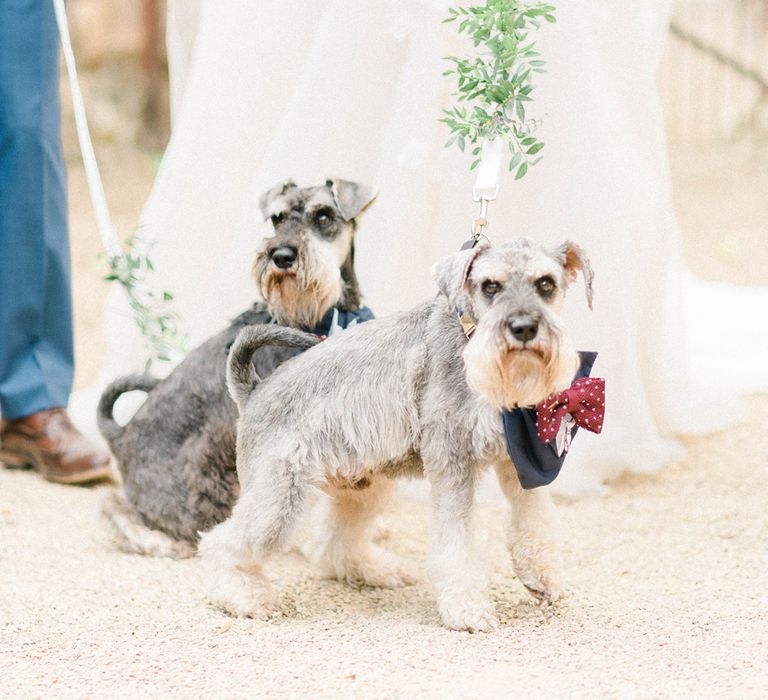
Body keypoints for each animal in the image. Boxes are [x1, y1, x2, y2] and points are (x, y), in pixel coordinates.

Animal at [96, 179, 378, 556]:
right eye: (277, 218)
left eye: (324, 215)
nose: (281, 256)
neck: (324, 315)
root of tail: (121, 433)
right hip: (194, 492)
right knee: (119, 506)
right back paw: (156, 541)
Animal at [200, 238, 592, 632]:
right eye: (490, 286)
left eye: (546, 283)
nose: (523, 328)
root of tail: (253, 390)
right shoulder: (454, 464)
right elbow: (457, 544)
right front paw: (468, 609)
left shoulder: (520, 459)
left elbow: (535, 517)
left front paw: (542, 577)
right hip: (279, 500)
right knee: (223, 543)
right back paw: (244, 597)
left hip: (364, 487)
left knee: (335, 543)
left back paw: (377, 570)